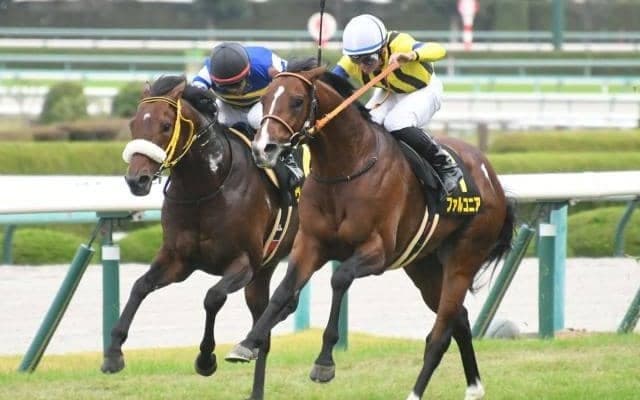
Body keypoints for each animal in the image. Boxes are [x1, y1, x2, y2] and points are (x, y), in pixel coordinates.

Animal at [101, 75, 298, 400]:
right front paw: (113, 353)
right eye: (133, 124)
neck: (207, 185)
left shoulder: (243, 263)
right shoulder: (178, 259)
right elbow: (140, 286)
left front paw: (206, 359)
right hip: (263, 273)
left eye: (165, 125)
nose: (136, 180)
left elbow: (213, 297)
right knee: (265, 329)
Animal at [226, 65, 515, 400]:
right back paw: (474, 388)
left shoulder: (376, 251)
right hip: (423, 265)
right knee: (461, 320)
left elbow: (339, 279)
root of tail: (491, 176)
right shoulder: (311, 243)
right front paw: (247, 344)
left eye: (297, 101)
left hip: (464, 257)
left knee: (440, 334)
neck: (346, 169)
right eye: (265, 98)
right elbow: (284, 290)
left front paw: (324, 362)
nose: (263, 148)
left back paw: (414, 393)